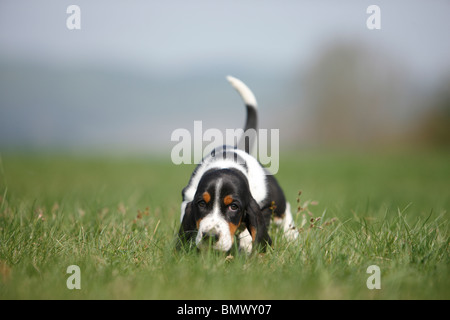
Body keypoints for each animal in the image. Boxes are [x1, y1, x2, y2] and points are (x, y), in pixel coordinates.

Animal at [177, 75, 298, 252]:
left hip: (279, 203)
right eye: (201, 204)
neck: (226, 164)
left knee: (285, 213)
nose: (210, 237)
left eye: (233, 207)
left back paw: (292, 237)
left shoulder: (263, 207)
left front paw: (247, 246)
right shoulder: (188, 198)